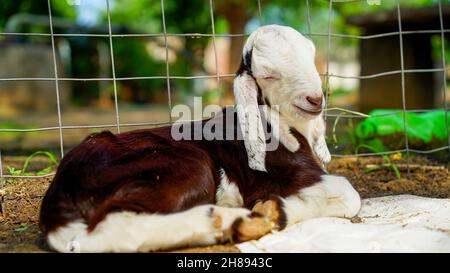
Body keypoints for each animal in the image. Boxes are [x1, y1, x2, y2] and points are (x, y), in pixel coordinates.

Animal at [39, 24, 362, 252]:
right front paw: (271, 208)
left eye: (311, 58)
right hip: (181, 164)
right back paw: (234, 221)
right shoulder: (284, 175)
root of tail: (60, 191)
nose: (315, 99)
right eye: (269, 75)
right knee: (113, 226)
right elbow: (349, 194)